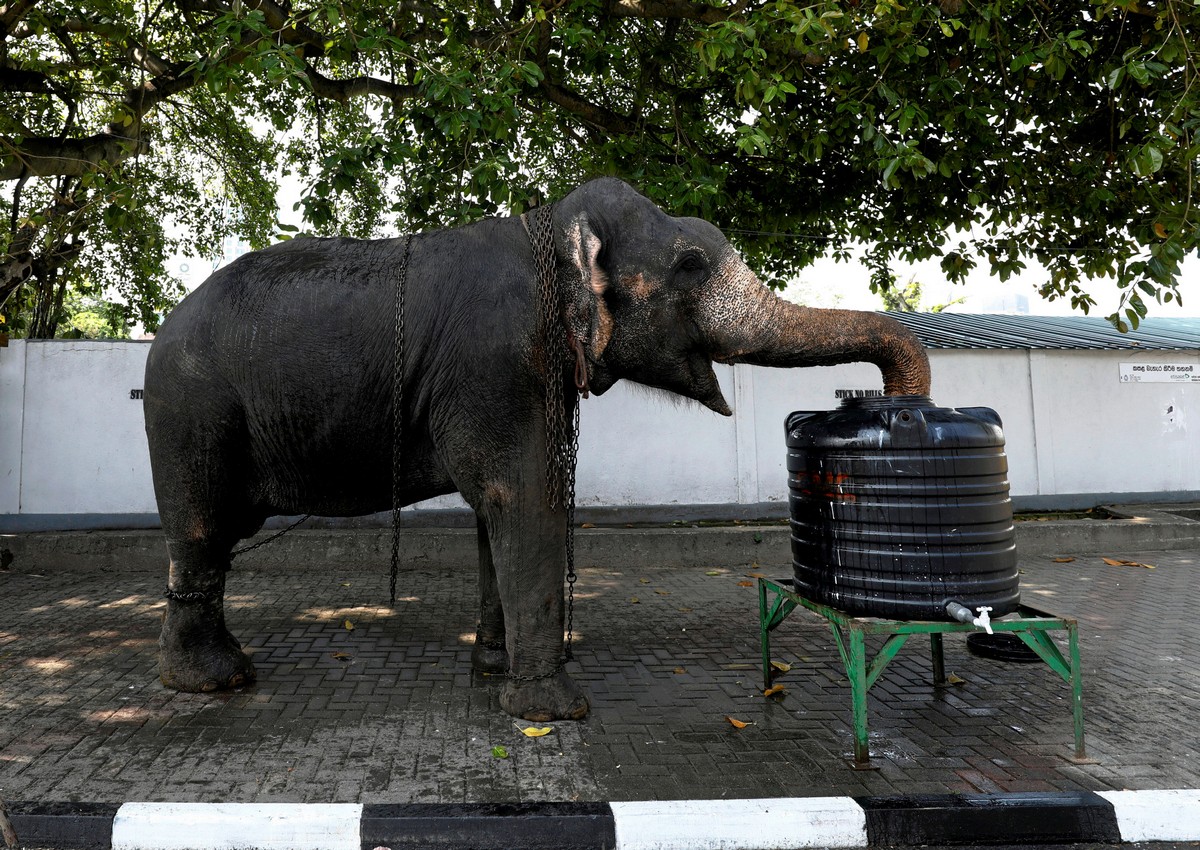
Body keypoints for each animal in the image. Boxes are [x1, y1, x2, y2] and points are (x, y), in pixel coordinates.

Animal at [140, 176, 926, 720]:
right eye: (692, 265)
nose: (889, 399)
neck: (552, 225)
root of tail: (166, 327)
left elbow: (494, 513)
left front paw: (492, 667)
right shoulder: (504, 365)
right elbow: (523, 499)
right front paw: (554, 712)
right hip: (191, 410)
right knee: (202, 531)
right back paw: (215, 680)